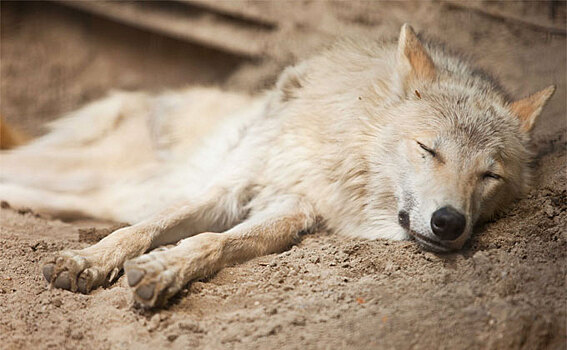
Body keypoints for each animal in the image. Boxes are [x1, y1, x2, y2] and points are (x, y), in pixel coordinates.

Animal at [0, 23, 556, 306]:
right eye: (427, 149)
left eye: (489, 175)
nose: (449, 223)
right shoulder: (235, 185)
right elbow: (145, 229)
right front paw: (87, 261)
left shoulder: (292, 212)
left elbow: (212, 242)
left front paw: (164, 269)